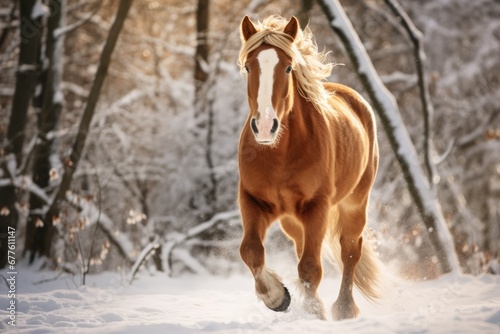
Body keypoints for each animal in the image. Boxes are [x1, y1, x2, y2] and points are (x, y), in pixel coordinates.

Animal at [236, 15, 380, 320]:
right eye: (248, 66)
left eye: (288, 67)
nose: (264, 126)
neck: (280, 154)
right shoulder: (252, 200)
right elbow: (251, 250)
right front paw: (278, 297)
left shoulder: (317, 206)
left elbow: (311, 267)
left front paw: (315, 314)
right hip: (293, 221)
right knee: (304, 248)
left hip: (354, 204)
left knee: (350, 251)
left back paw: (344, 309)